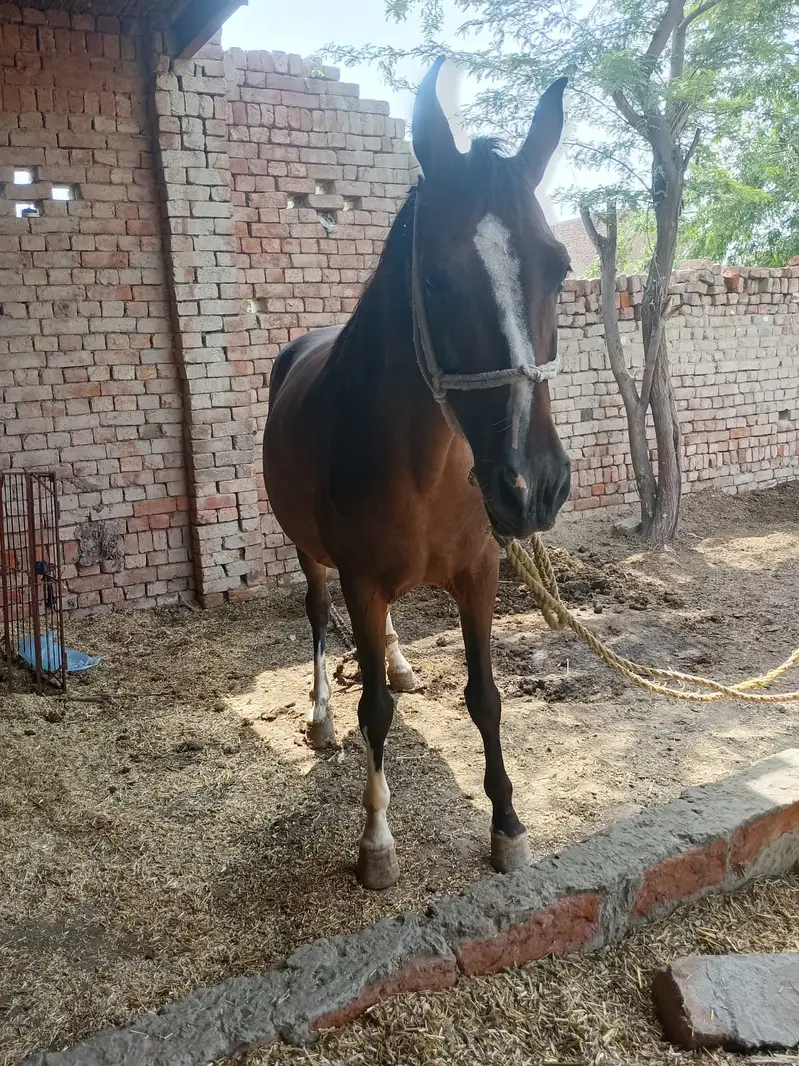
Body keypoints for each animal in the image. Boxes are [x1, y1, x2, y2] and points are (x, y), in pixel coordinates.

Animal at [263, 59, 572, 890]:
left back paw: (400, 662)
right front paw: (375, 843)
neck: (428, 468)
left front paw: (507, 826)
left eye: (561, 268)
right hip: (309, 554)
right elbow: (372, 711)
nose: (533, 487)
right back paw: (320, 717)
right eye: (433, 280)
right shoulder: (360, 578)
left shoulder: (479, 570)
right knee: (317, 619)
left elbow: (485, 696)